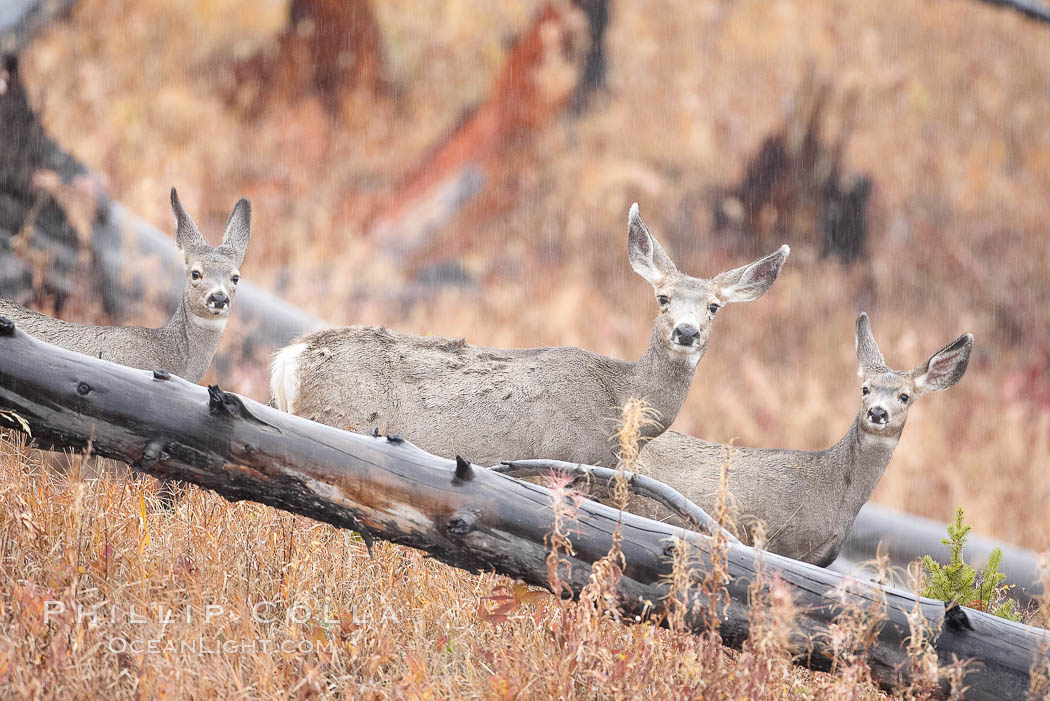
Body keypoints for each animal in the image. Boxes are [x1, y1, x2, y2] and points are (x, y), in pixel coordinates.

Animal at [270, 205, 789, 468]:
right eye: (662, 297)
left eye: (714, 308)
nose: (685, 330)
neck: (619, 403)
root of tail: (289, 358)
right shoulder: (561, 461)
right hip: (338, 419)